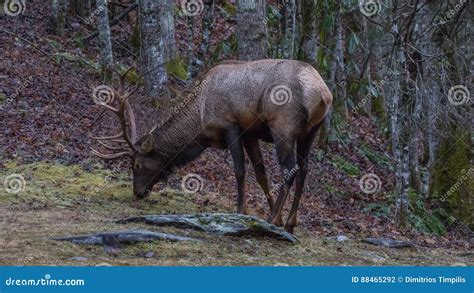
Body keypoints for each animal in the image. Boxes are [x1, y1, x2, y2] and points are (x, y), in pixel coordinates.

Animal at [92, 60, 334, 233]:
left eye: (137, 165)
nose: (138, 192)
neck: (200, 118)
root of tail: (323, 93)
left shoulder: (230, 126)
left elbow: (240, 170)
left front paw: (241, 211)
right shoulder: (250, 134)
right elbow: (260, 174)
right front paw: (276, 213)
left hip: (283, 126)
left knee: (290, 170)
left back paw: (272, 218)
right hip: (311, 132)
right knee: (304, 169)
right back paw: (289, 222)